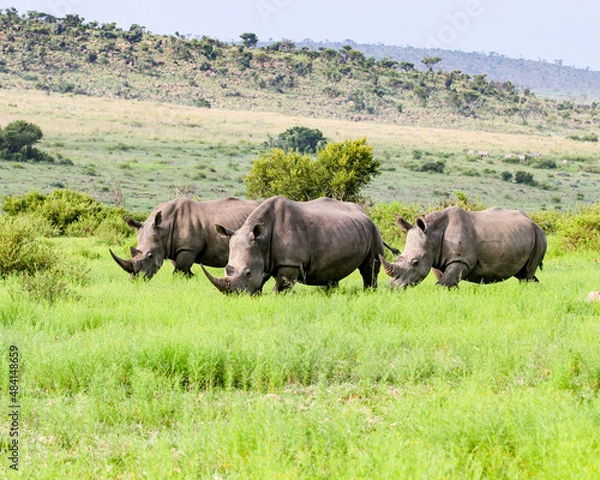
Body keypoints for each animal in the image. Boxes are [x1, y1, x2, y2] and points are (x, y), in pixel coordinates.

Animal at [110, 197, 260, 280]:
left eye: (150, 256)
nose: (135, 279)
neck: (163, 228)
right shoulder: (172, 247)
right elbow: (182, 269)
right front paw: (191, 278)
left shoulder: (188, 248)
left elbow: (179, 270)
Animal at [202, 194, 390, 292]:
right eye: (227, 269)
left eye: (247, 273)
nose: (233, 296)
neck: (262, 239)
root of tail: (364, 212)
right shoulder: (263, 257)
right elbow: (260, 281)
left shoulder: (290, 263)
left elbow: (280, 287)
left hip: (373, 230)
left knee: (370, 267)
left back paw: (369, 292)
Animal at [382, 206, 548, 288]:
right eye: (398, 257)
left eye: (415, 262)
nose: (392, 288)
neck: (433, 234)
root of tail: (534, 222)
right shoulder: (437, 258)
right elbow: (447, 282)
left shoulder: (461, 260)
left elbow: (442, 284)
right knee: (524, 273)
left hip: (539, 236)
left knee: (527, 274)